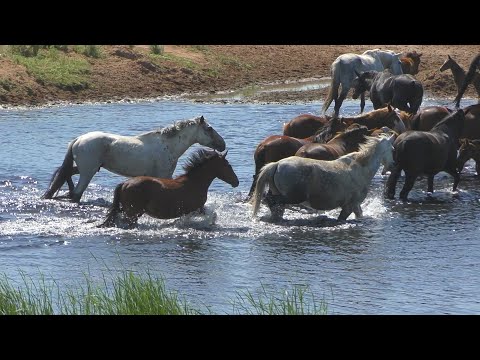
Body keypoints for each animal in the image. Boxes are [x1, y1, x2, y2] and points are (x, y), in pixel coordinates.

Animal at [42, 116, 226, 204]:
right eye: (209, 129)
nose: (222, 144)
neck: (167, 145)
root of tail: (78, 139)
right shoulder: (165, 175)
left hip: (86, 168)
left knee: (64, 174)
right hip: (88, 172)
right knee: (76, 194)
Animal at [100, 148, 239, 228]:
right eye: (228, 165)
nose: (236, 182)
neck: (195, 182)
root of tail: (125, 183)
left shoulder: (198, 208)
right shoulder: (195, 208)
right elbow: (213, 215)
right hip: (133, 213)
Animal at [251, 134, 394, 221]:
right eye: (393, 149)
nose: (392, 165)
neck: (361, 169)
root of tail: (277, 164)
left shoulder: (354, 206)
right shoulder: (351, 205)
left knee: (275, 205)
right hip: (293, 197)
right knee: (270, 200)